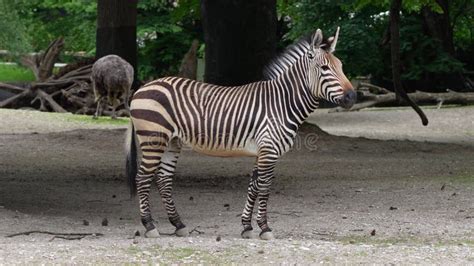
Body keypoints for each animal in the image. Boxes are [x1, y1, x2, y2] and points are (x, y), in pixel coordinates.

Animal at [126, 28, 356, 240]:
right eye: (324, 68)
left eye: (341, 67)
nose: (353, 97)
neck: (282, 103)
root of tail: (141, 88)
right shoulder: (269, 150)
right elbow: (265, 186)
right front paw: (265, 228)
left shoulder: (261, 151)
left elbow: (253, 186)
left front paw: (247, 226)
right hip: (154, 139)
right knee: (142, 178)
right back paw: (149, 226)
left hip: (172, 142)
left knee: (163, 179)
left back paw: (178, 224)